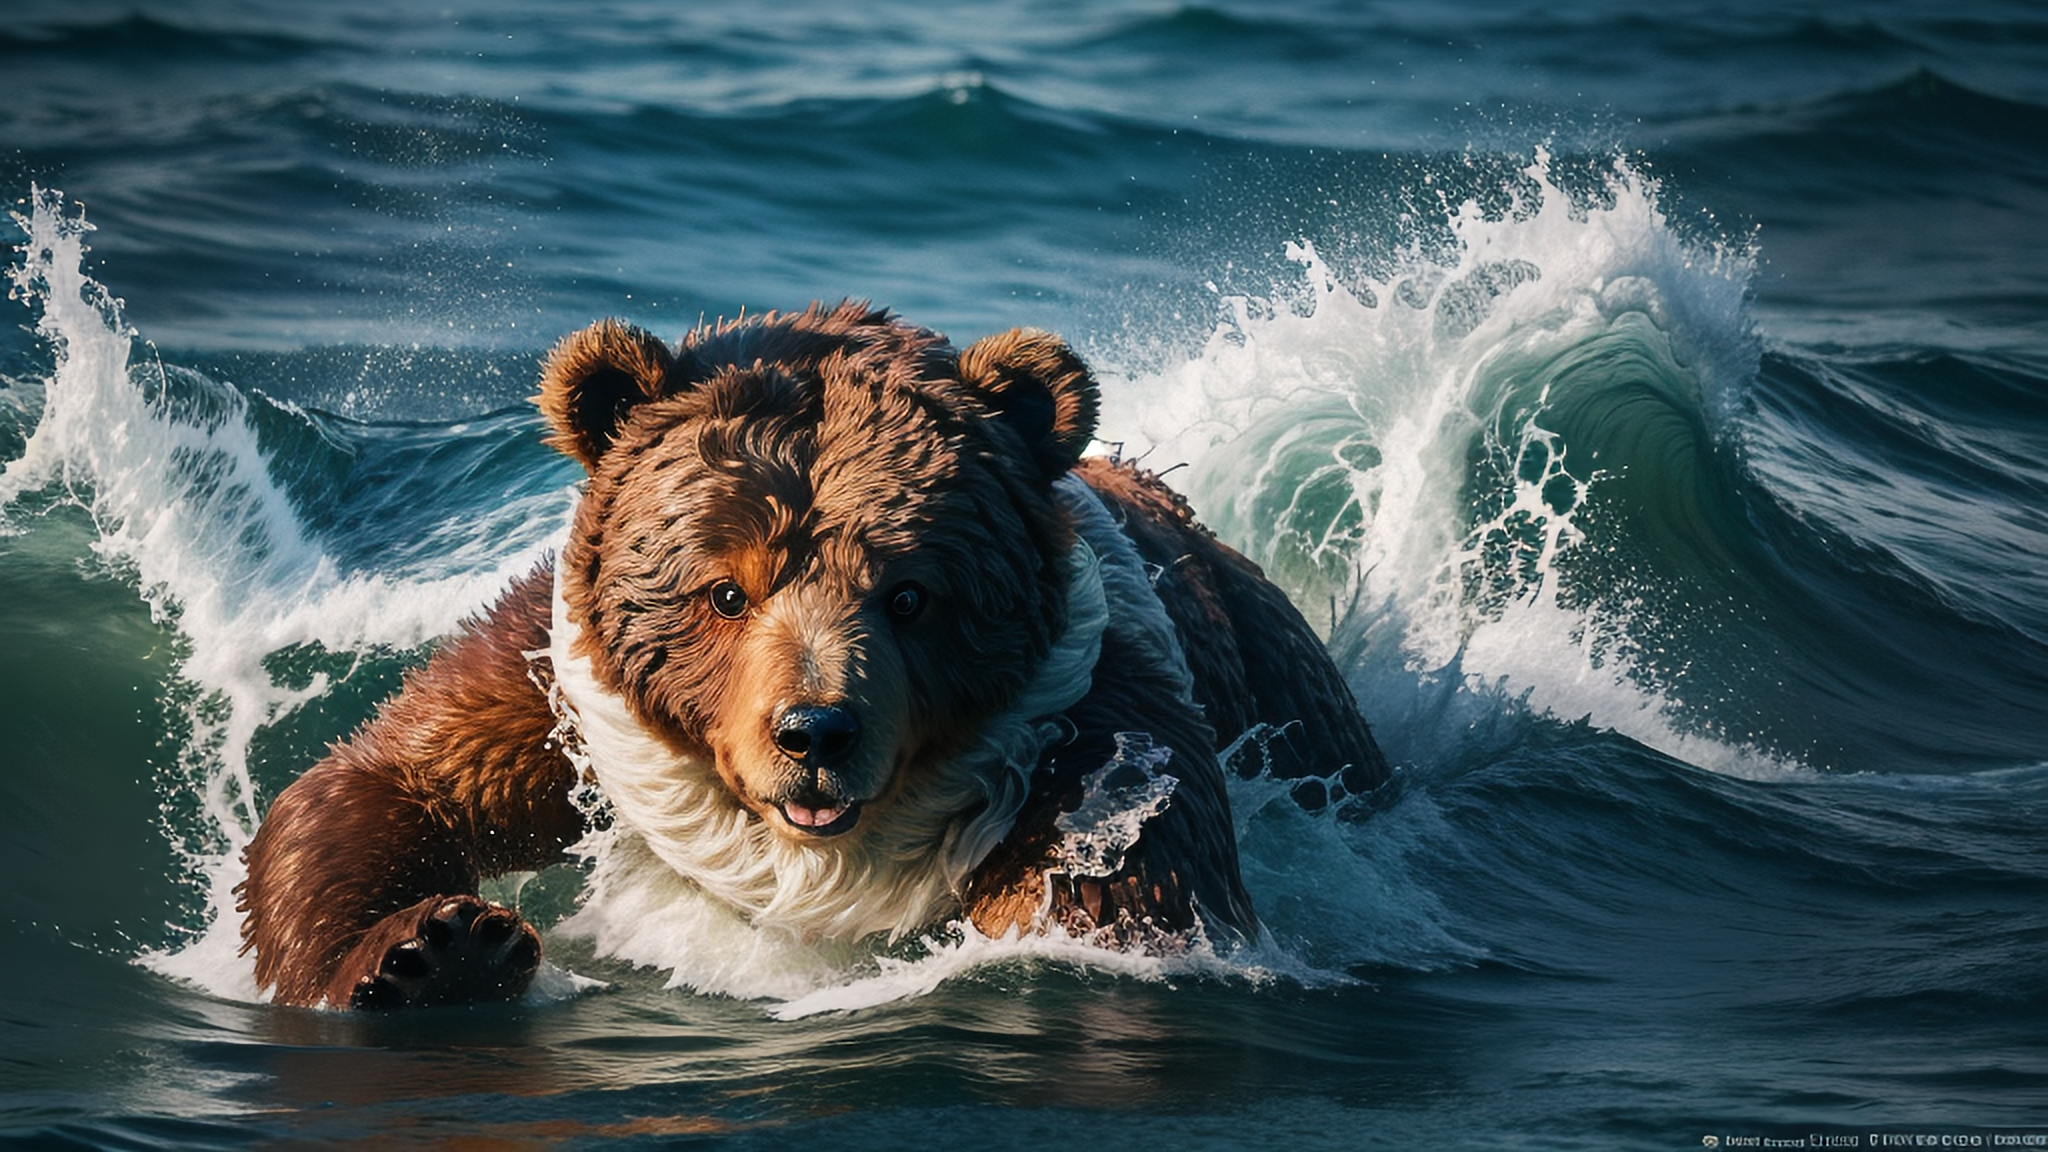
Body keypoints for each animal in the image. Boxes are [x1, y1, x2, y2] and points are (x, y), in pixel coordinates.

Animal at [239, 297, 1392, 1004]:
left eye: (912, 594)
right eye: (722, 590)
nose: (814, 733)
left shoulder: (1102, 729)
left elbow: (1123, 884)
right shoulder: (555, 687)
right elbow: (384, 782)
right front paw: (431, 952)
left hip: (1288, 691)